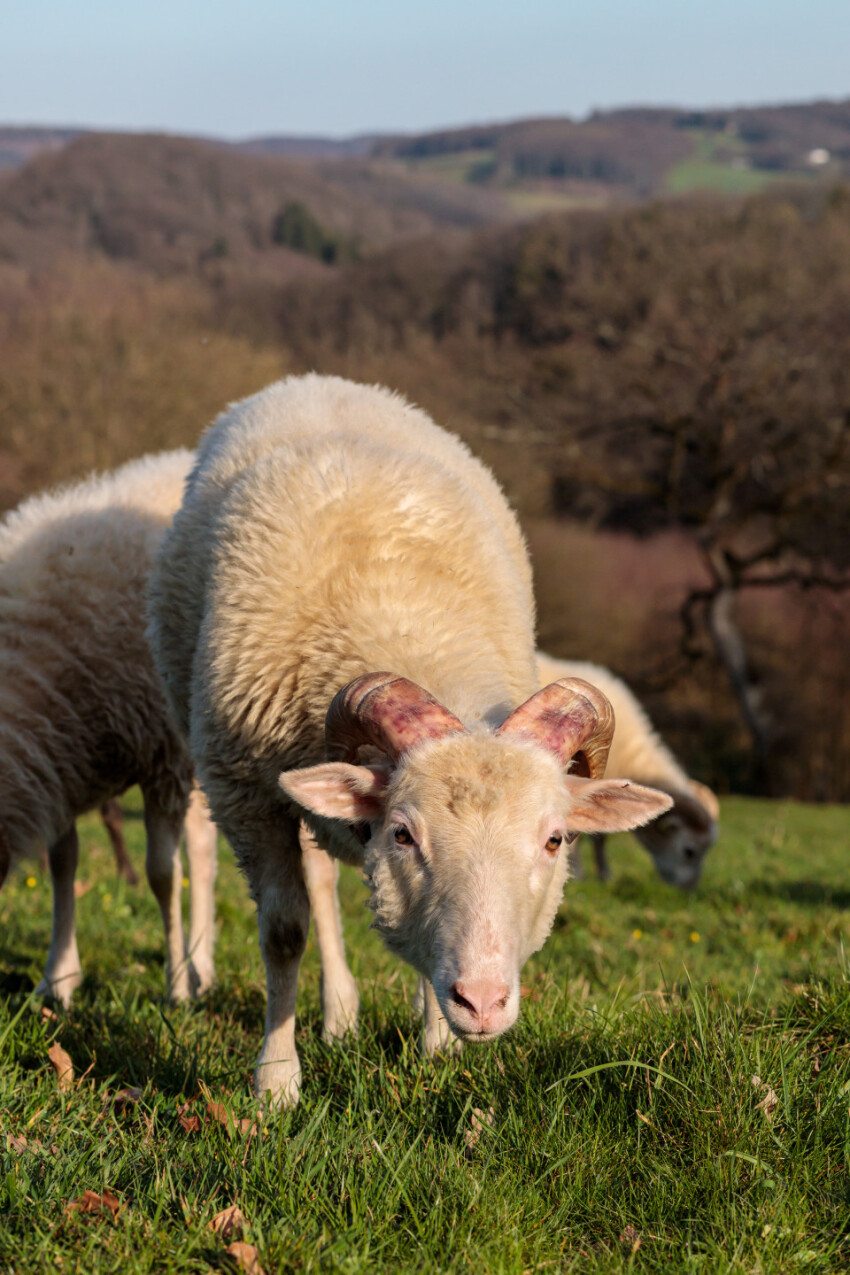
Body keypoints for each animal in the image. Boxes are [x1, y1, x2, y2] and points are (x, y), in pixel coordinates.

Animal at [0, 451, 216, 1004]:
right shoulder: (60, 760)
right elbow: (63, 864)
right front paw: (58, 979)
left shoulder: (162, 761)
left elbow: (163, 876)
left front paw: (175, 986)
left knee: (200, 857)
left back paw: (198, 967)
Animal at [147, 372, 672, 1106]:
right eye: (403, 834)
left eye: (554, 840)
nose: (482, 1002)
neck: (403, 620)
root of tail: (317, 379)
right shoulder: (244, 793)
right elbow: (283, 933)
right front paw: (276, 1081)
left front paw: (437, 1045)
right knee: (317, 892)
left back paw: (350, 1017)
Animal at [535, 657, 723, 887]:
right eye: (689, 851)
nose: (691, 888)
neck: (628, 756)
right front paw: (578, 874)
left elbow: (600, 837)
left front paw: (604, 874)